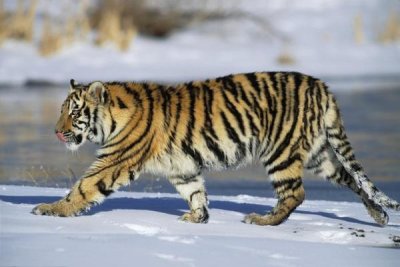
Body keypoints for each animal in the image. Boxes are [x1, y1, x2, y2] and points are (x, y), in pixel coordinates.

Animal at [32, 72, 400, 227]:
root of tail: (321, 85)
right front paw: (198, 218)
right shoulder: (181, 167)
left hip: (280, 151)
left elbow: (83, 187)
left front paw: (49, 210)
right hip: (319, 155)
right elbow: (195, 192)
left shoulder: (116, 160)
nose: (56, 131)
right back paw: (378, 215)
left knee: (296, 194)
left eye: (74, 112)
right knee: (352, 179)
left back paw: (263, 220)